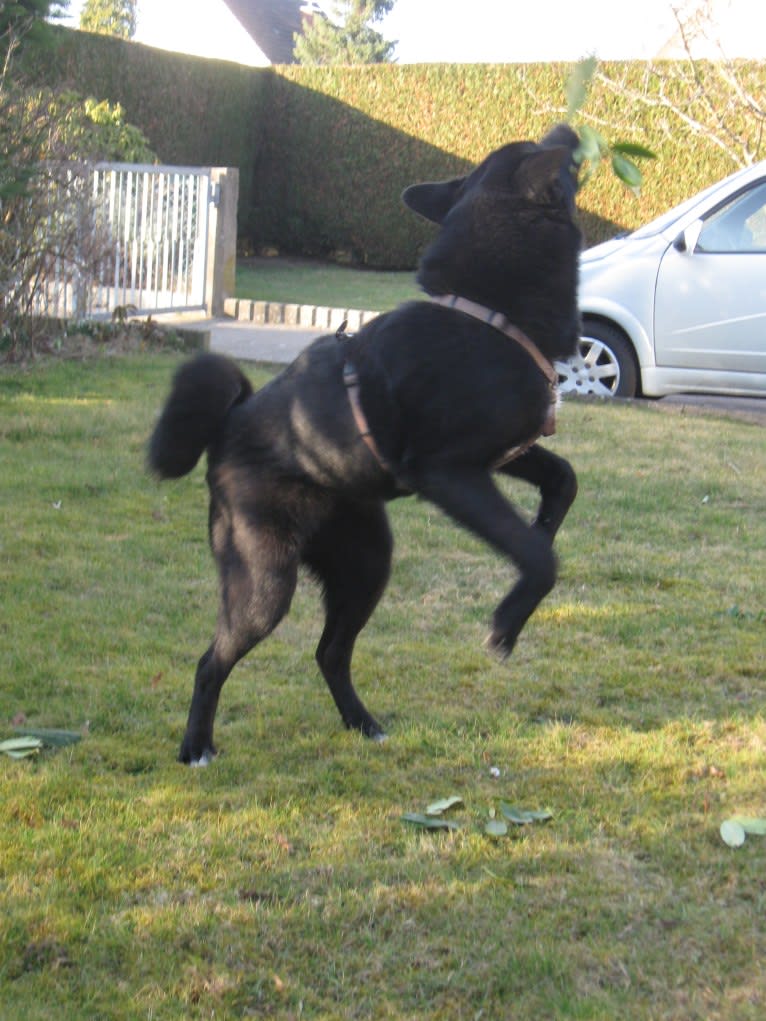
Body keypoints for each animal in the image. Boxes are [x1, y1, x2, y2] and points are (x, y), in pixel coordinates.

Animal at [148, 125, 580, 767]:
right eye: (539, 149)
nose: (567, 130)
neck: (488, 313)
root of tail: (229, 423)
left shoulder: (508, 450)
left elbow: (563, 483)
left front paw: (541, 530)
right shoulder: (450, 472)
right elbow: (539, 557)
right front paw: (506, 623)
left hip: (366, 564)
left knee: (329, 652)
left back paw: (362, 722)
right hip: (264, 580)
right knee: (212, 660)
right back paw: (196, 746)